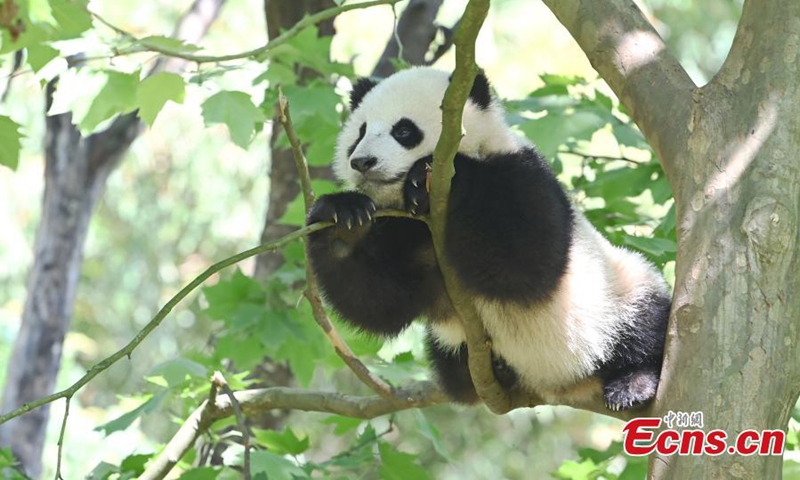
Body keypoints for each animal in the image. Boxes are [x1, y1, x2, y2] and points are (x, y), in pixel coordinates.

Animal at [305, 67, 671, 412]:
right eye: (360, 132)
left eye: (404, 131)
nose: (362, 162)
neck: (428, 217)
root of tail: (565, 386)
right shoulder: (405, 229)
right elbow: (381, 301)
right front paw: (342, 219)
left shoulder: (521, 174)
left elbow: (523, 265)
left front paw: (435, 175)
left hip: (612, 294)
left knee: (645, 321)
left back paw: (632, 384)